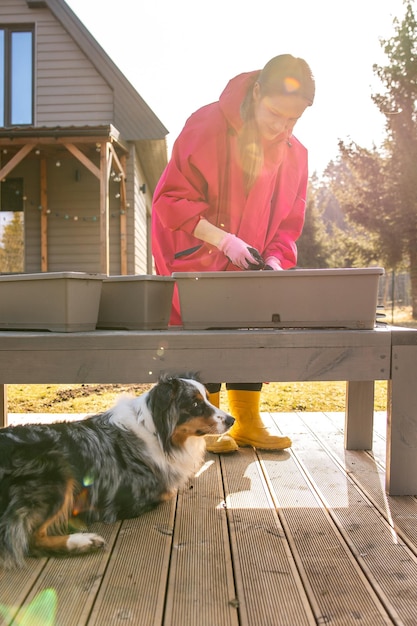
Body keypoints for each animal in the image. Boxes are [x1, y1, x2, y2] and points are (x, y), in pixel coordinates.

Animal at [0, 372, 234, 568]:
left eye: (207, 398)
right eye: (195, 403)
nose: (232, 420)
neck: (156, 431)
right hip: (58, 472)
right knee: (29, 541)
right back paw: (85, 542)